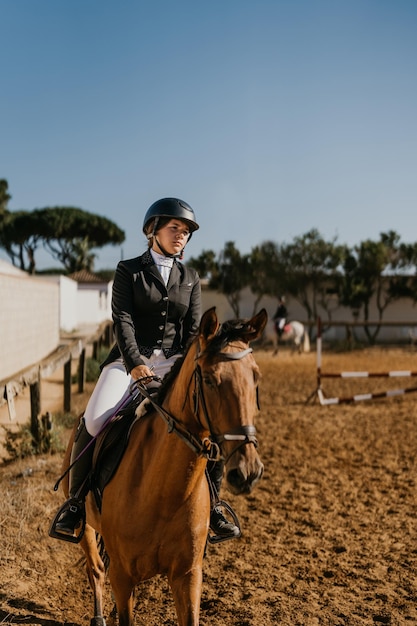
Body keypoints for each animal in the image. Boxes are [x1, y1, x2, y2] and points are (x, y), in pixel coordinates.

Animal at [59, 308, 266, 624]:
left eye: (255, 377)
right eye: (209, 379)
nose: (248, 472)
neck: (164, 491)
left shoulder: (188, 575)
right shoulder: (123, 577)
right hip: (87, 528)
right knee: (95, 568)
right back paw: (98, 615)